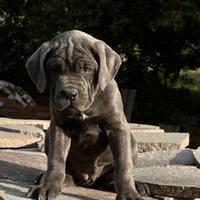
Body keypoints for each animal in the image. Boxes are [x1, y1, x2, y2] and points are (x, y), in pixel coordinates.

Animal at [25, 30, 143, 200]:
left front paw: (128, 193)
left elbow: (123, 164)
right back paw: (52, 179)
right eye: (54, 69)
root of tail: (89, 180)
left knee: (112, 174)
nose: (69, 93)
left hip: (132, 142)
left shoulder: (117, 128)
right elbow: (56, 159)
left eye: (87, 69)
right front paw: (47, 186)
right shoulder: (59, 127)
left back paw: (132, 186)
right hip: (48, 137)